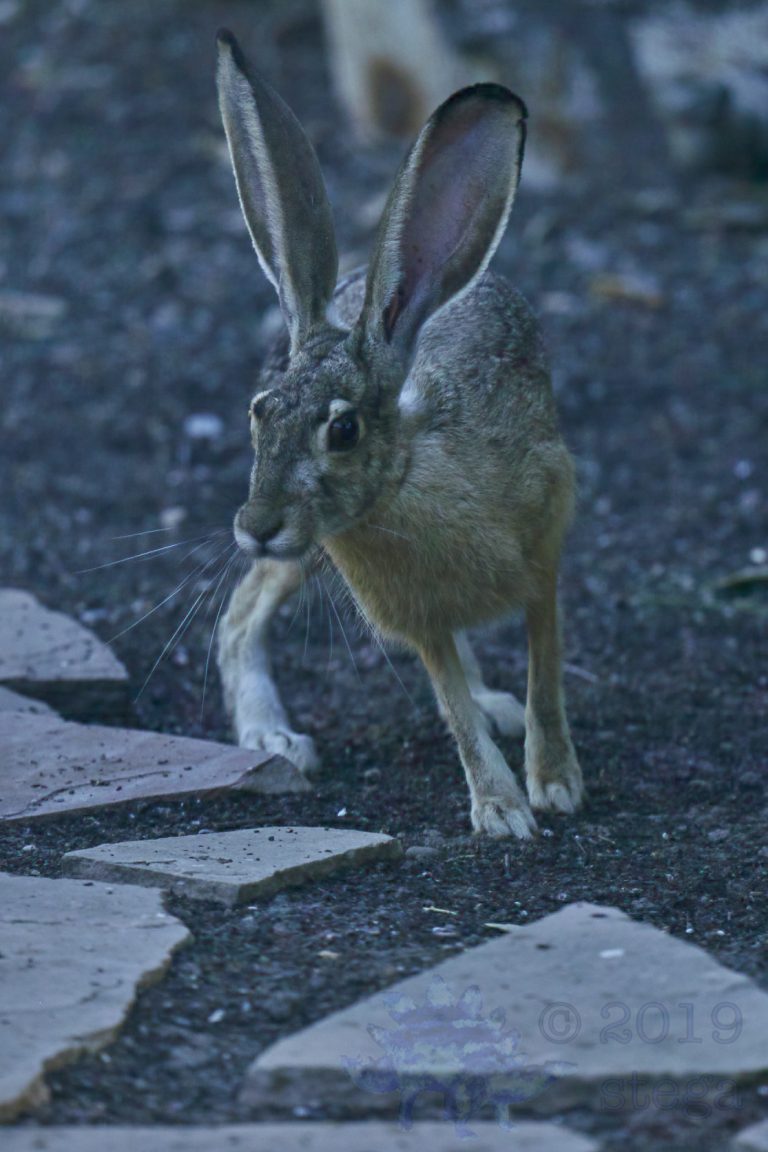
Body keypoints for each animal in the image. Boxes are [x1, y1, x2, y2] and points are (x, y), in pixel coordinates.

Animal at [214, 29, 583, 838]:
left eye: (344, 429)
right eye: (259, 411)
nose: (255, 525)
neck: (408, 479)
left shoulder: (545, 550)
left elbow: (544, 670)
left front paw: (555, 783)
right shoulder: (417, 616)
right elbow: (449, 701)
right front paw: (501, 811)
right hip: (303, 554)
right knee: (242, 613)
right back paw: (272, 737)